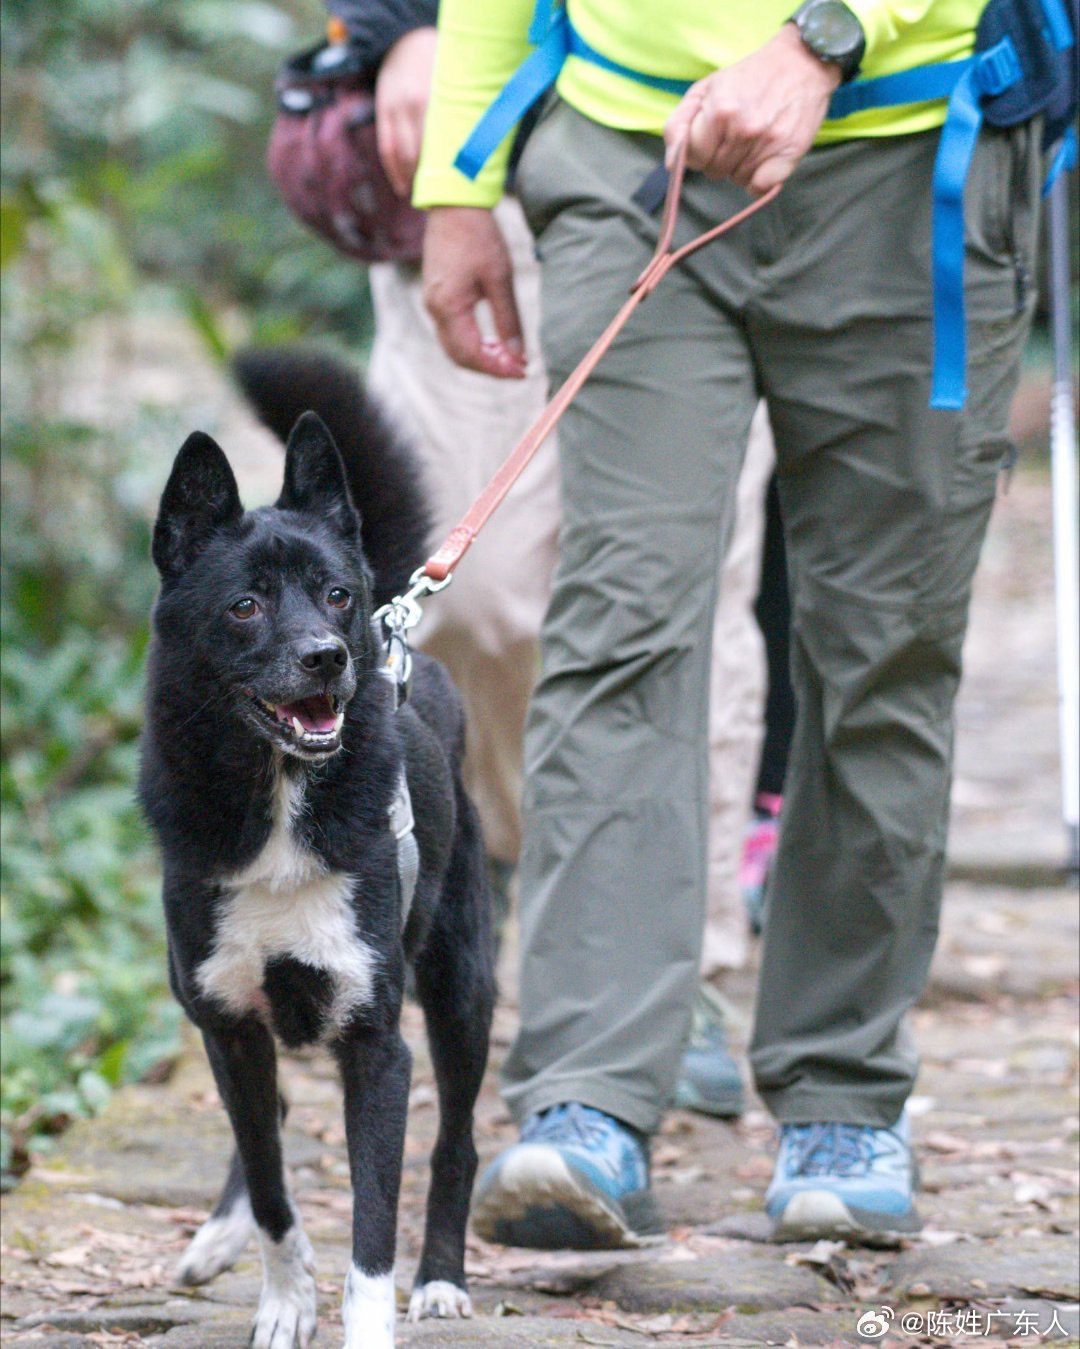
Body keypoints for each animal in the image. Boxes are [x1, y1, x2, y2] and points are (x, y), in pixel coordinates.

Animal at [140, 350, 496, 1349]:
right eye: (245, 606)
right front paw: (284, 1294)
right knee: (264, 1132)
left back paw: (443, 1279)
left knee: (458, 1141)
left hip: (462, 984)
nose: (329, 656)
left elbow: (370, 1235)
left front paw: (363, 1316)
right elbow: (272, 1189)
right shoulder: (227, 1023)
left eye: (336, 593)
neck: (280, 801)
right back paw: (220, 1234)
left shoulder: (376, 1044)